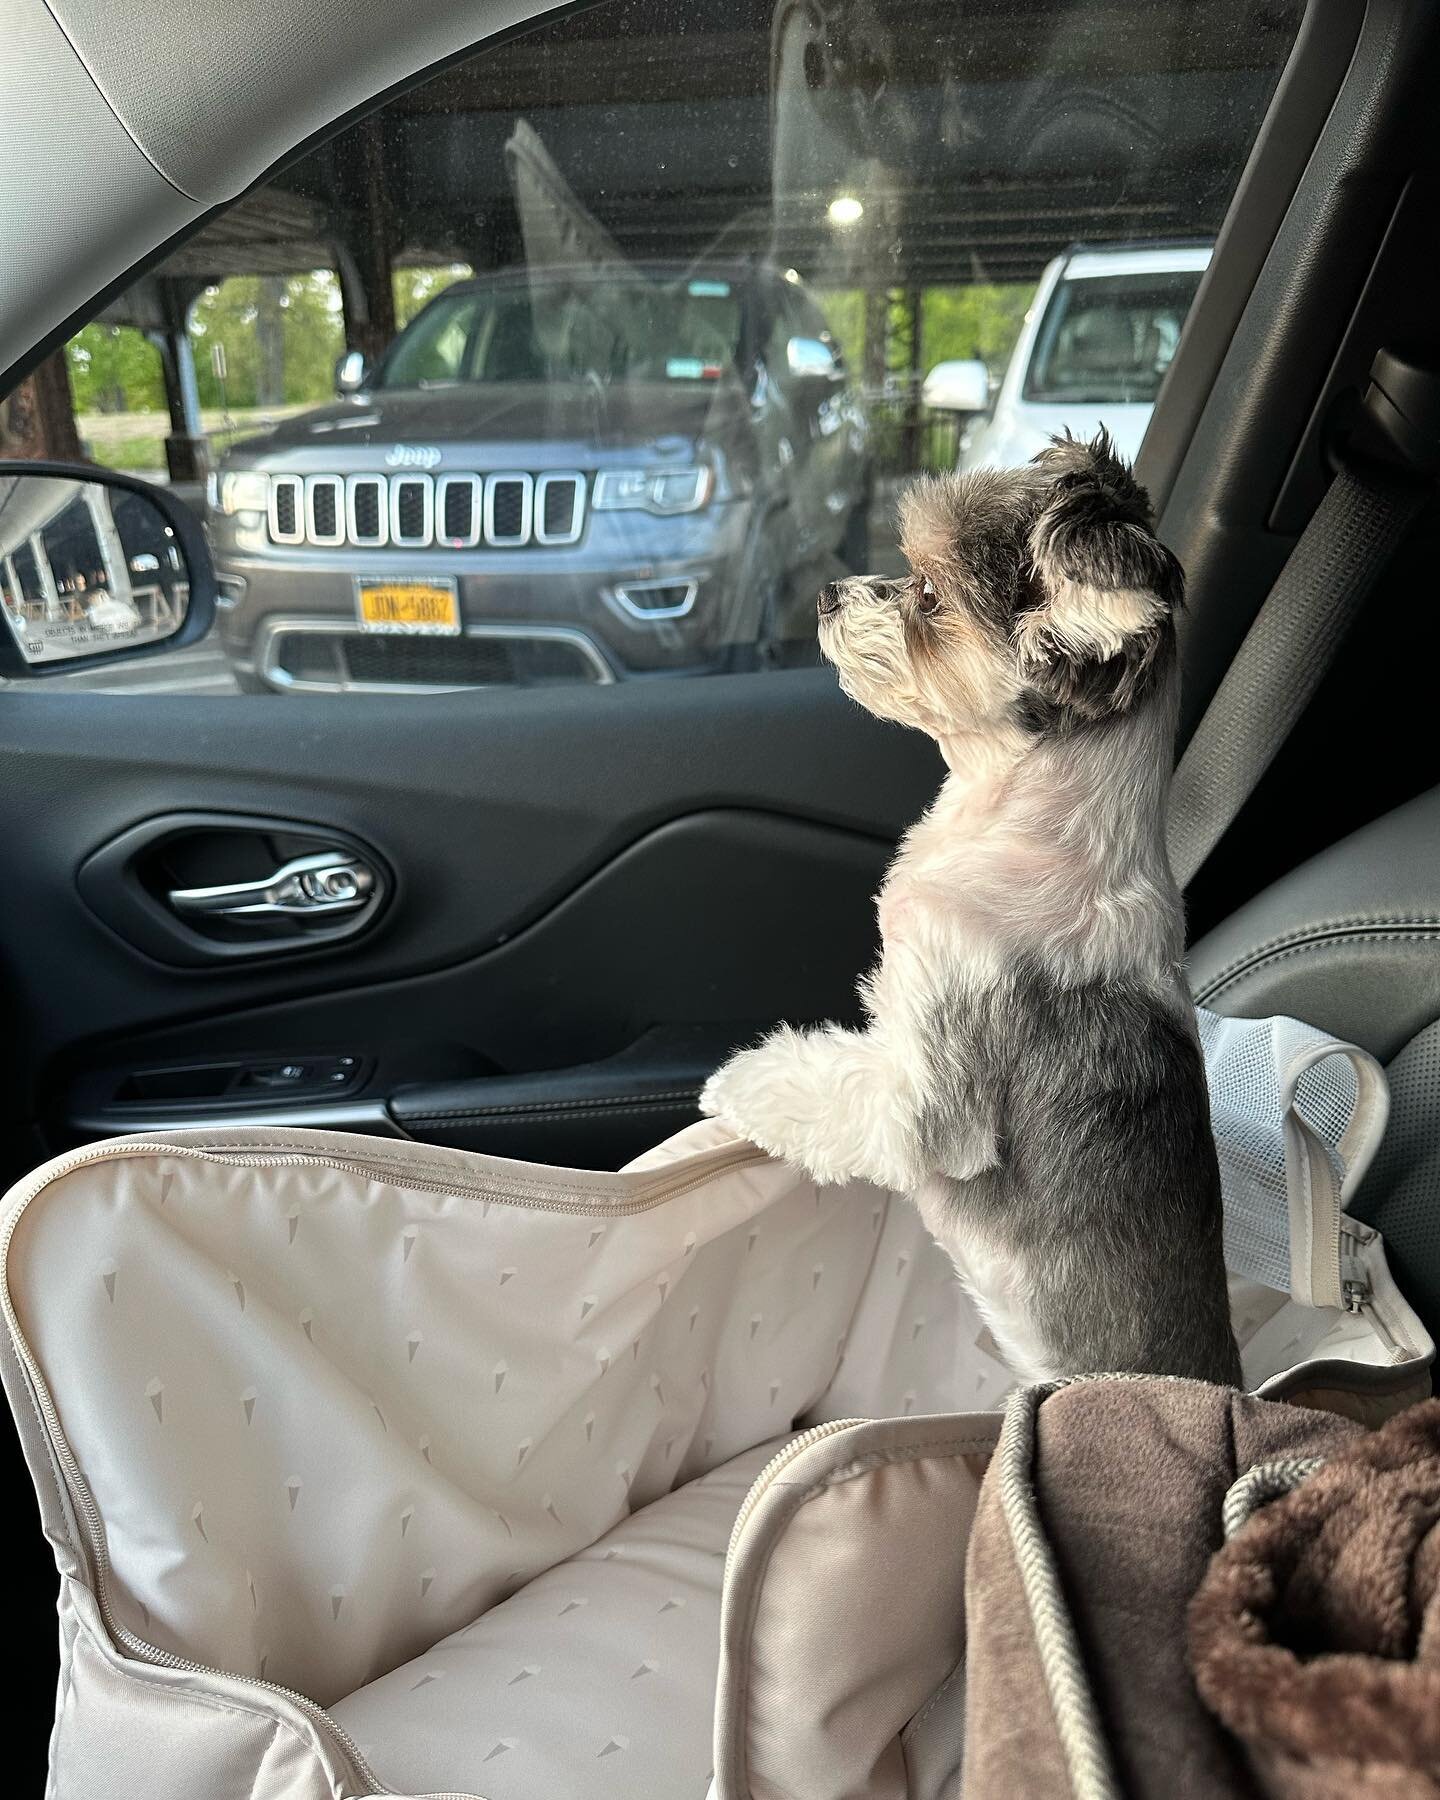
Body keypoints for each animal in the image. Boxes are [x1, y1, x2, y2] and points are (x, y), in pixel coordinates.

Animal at [702, 428, 1245, 1382]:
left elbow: (835, 1084)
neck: (1012, 819)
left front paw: (743, 1079)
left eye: (926, 592)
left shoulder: (929, 1084)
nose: (831, 591)